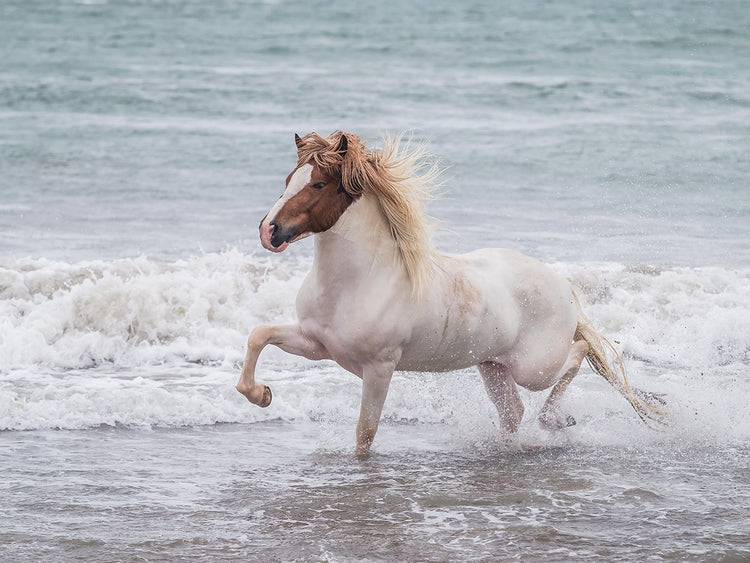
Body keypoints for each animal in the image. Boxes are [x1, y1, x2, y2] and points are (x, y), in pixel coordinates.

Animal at [237, 131, 665, 456]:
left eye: (318, 184)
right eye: (287, 179)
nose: (268, 231)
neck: (359, 282)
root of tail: (563, 284)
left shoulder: (379, 369)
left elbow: (365, 434)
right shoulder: (317, 345)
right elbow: (259, 335)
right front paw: (261, 395)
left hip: (533, 368)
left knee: (576, 354)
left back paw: (558, 420)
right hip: (492, 366)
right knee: (514, 411)